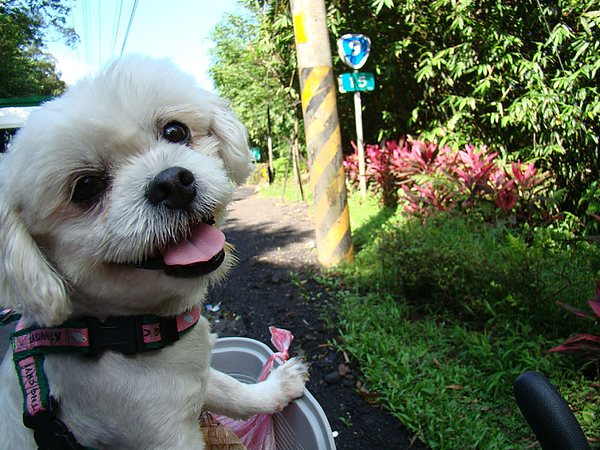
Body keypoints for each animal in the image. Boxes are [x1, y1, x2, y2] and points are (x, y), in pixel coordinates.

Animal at [0, 57, 310, 450]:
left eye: (175, 131)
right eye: (85, 188)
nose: (172, 182)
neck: (124, 332)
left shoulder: (195, 384)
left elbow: (233, 391)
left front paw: (275, 389)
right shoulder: (163, 434)